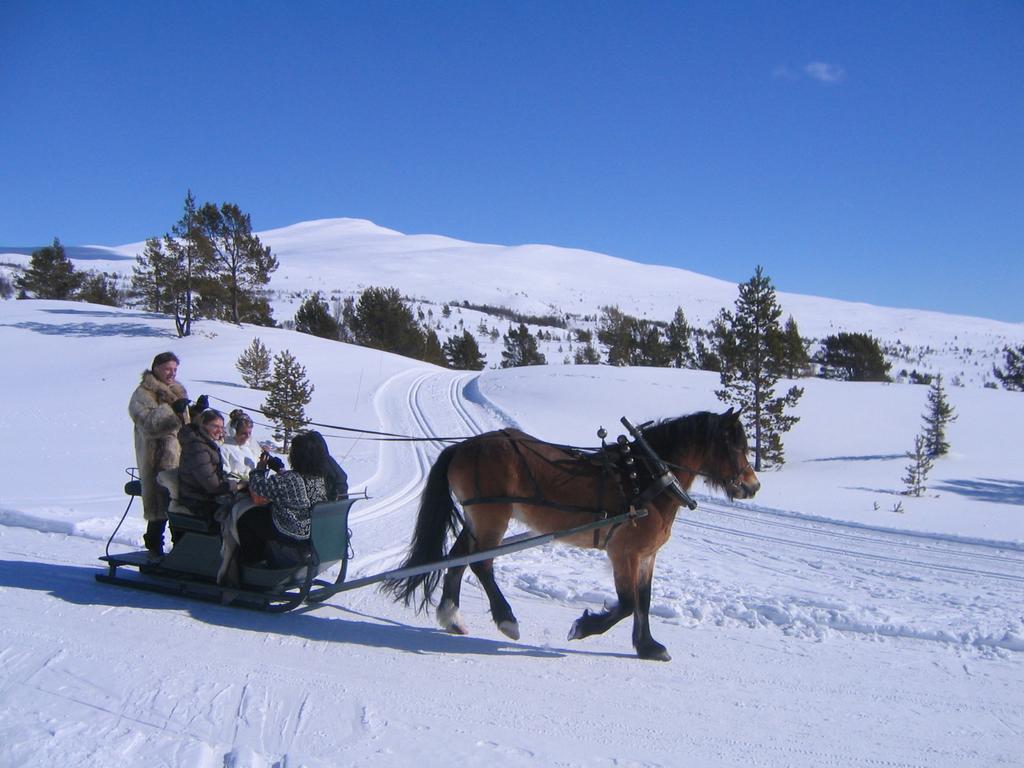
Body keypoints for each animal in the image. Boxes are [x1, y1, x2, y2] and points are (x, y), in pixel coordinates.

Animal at [385, 409, 761, 663]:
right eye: (735, 446)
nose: (753, 486)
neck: (647, 477)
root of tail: (463, 447)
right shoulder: (623, 553)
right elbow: (627, 604)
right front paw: (583, 628)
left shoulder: (646, 556)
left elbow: (644, 601)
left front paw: (648, 647)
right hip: (492, 518)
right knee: (482, 565)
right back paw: (507, 620)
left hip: (477, 518)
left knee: (459, 558)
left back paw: (451, 616)